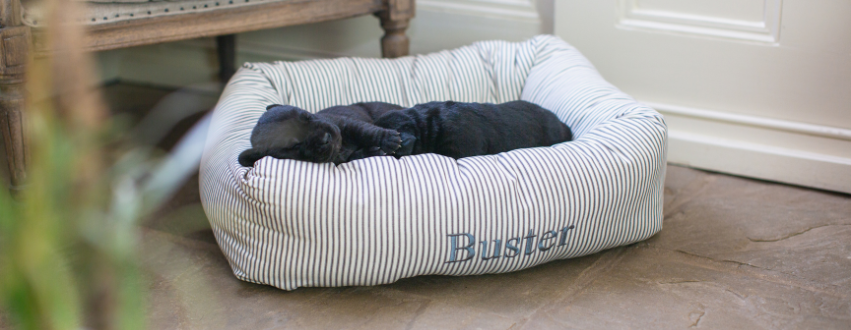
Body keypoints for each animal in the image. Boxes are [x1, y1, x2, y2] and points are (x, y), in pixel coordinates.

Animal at [236, 102, 402, 166]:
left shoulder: (347, 124)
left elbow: (367, 132)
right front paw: (372, 151)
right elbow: (352, 157)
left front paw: (388, 139)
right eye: (294, 145)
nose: (326, 138)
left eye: (307, 116)